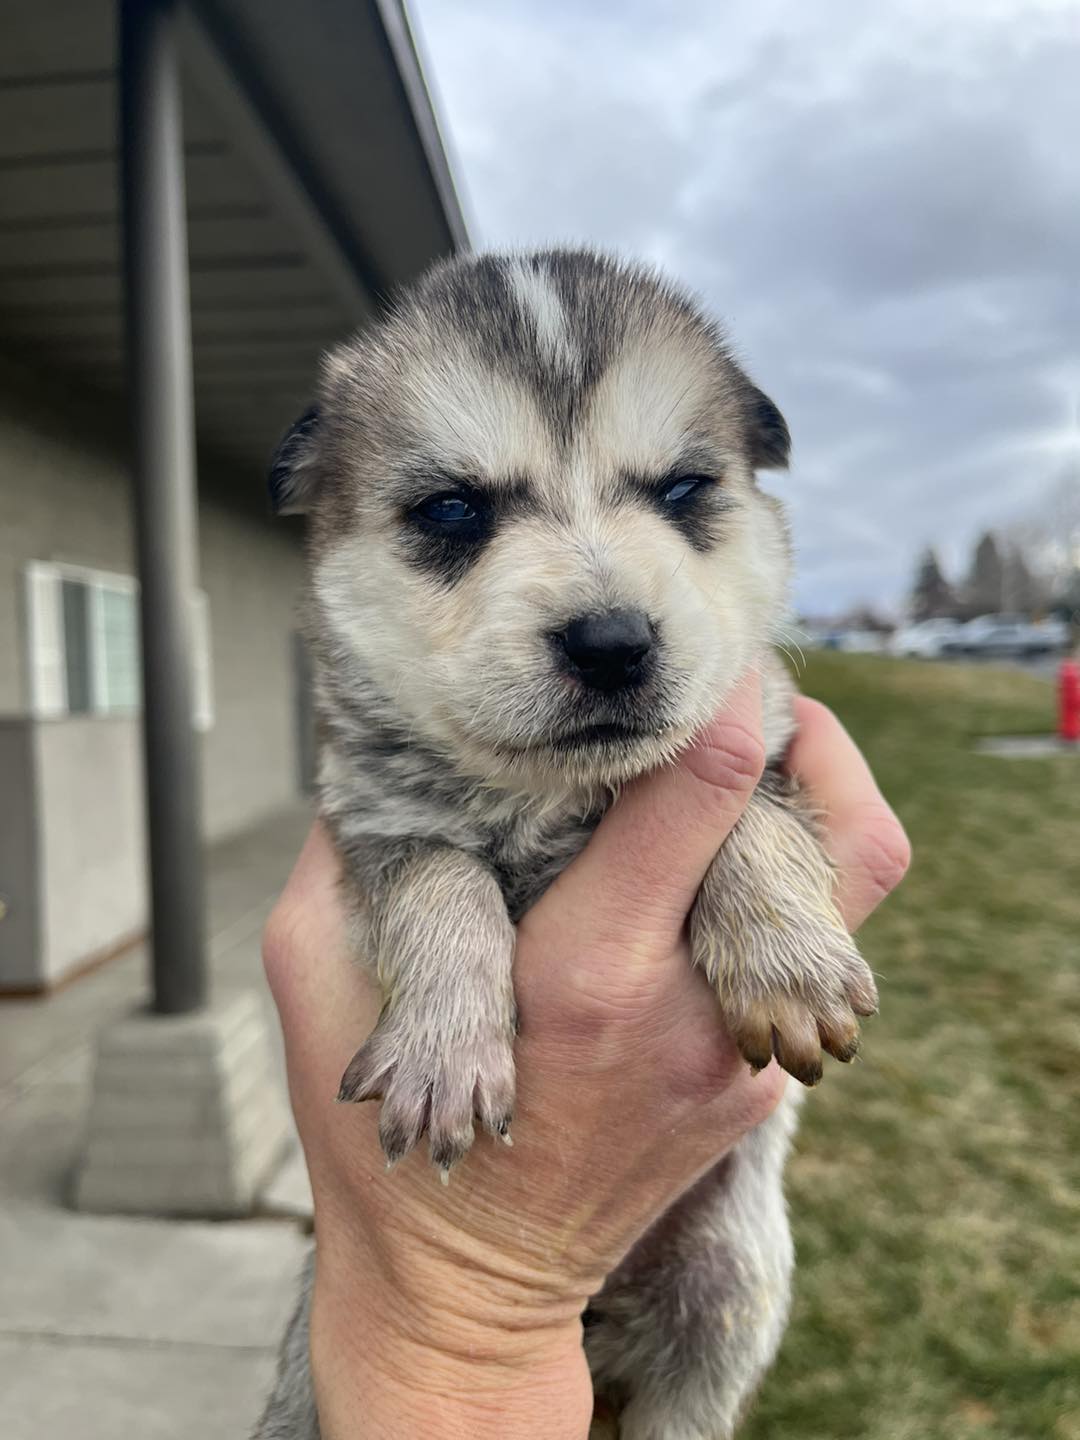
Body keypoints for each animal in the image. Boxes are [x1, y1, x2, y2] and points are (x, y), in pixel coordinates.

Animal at [260, 250, 881, 1440]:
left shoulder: (772, 745)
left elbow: (754, 812)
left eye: (683, 490)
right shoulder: (371, 825)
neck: (554, 797)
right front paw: (448, 1047)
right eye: (453, 509)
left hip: (727, 1288)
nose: (612, 641)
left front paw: (788, 955)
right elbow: (442, 874)